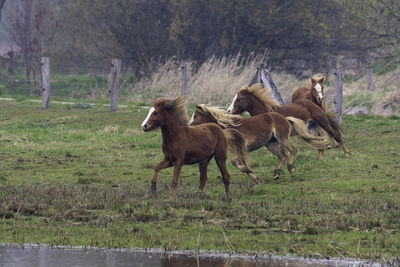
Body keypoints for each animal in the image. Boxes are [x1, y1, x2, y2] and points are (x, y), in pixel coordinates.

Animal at [191, 104, 328, 180]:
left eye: (195, 116)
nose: (189, 127)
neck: (229, 127)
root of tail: (285, 118)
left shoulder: (240, 149)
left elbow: (234, 161)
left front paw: (250, 173)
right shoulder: (238, 150)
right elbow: (240, 163)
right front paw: (255, 177)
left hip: (282, 138)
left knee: (293, 150)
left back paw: (290, 168)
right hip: (271, 144)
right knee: (283, 156)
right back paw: (276, 173)